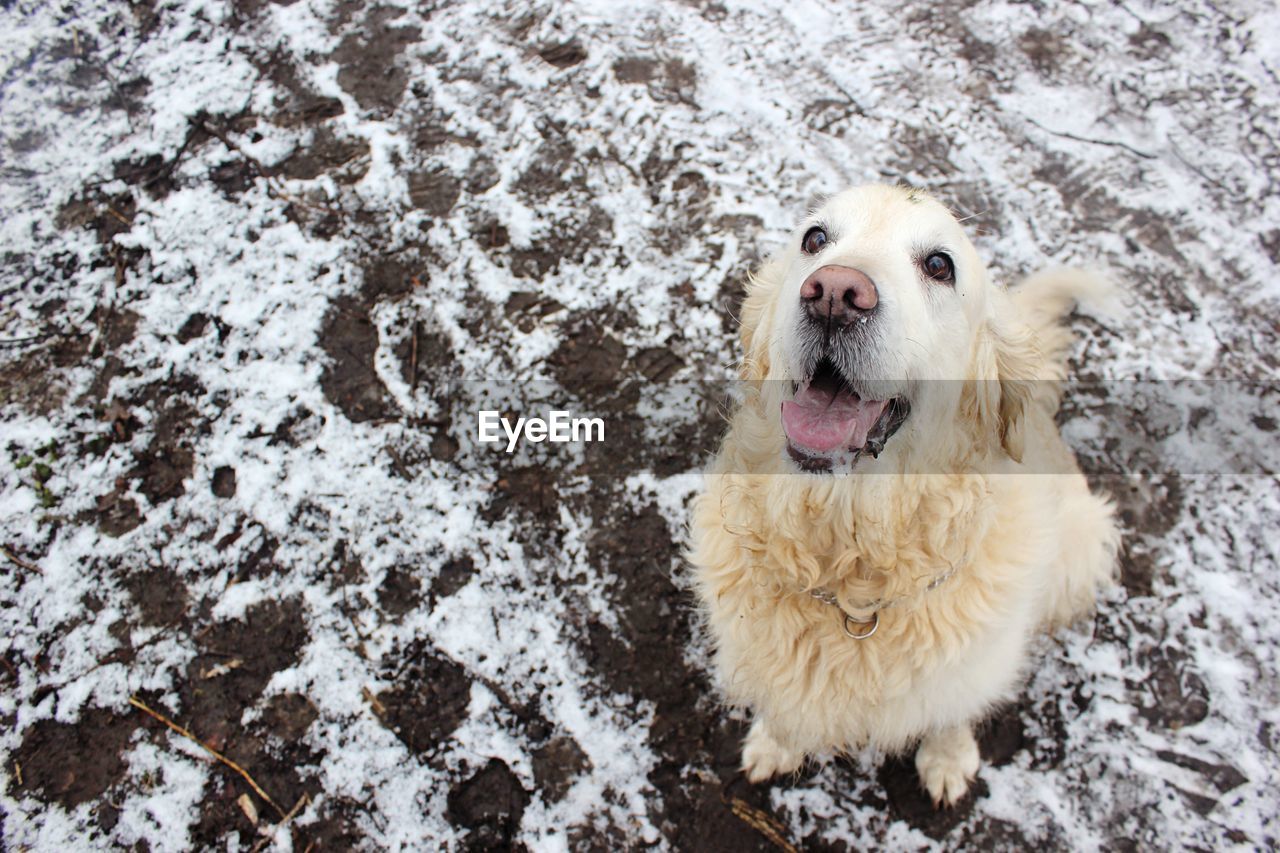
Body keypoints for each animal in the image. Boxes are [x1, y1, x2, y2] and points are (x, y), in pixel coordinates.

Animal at [691, 183, 1121, 799]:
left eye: (940, 265)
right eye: (815, 239)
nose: (834, 294)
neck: (853, 583)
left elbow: (952, 710)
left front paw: (947, 758)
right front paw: (776, 743)